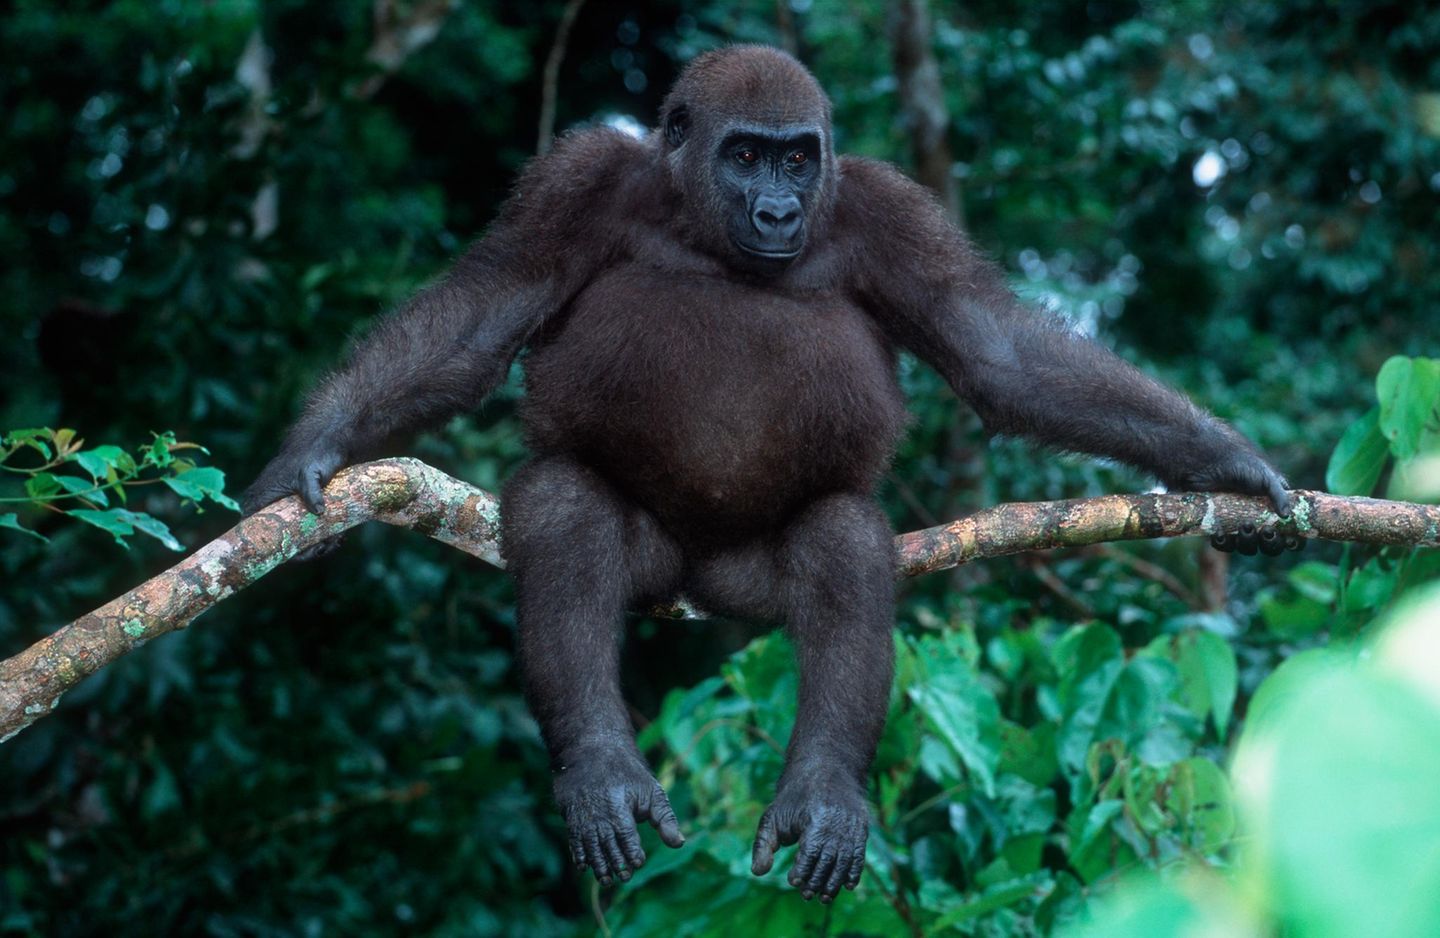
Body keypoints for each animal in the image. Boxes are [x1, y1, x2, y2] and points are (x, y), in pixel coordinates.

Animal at [244, 46, 1292, 902]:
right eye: (743, 156)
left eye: (796, 159)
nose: (781, 208)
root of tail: (699, 576)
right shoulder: (573, 183)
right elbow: (480, 314)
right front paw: (312, 449)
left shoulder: (891, 210)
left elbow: (998, 353)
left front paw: (1221, 460)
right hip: (656, 557)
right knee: (567, 512)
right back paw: (602, 770)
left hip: (750, 570)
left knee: (843, 543)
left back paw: (821, 790)